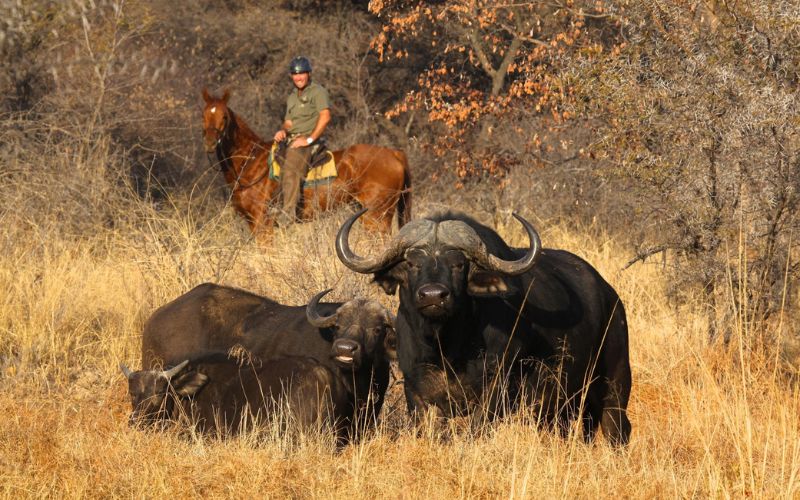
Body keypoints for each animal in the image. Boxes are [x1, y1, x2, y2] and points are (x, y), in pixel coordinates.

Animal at [201, 89, 411, 239]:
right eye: (203, 115)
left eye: (224, 116)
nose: (210, 142)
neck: (251, 162)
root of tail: (395, 153)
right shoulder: (252, 223)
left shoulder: (263, 222)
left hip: (377, 217)